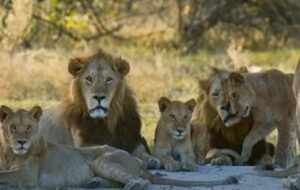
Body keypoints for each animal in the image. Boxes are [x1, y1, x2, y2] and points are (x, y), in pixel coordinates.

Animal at [0, 104, 239, 189]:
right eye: (13, 127)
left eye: (29, 128)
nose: (21, 142)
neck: (9, 154)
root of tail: (137, 161)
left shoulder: (27, 176)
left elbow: (5, 176)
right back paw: (92, 183)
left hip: (103, 160)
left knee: (140, 181)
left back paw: (132, 185)